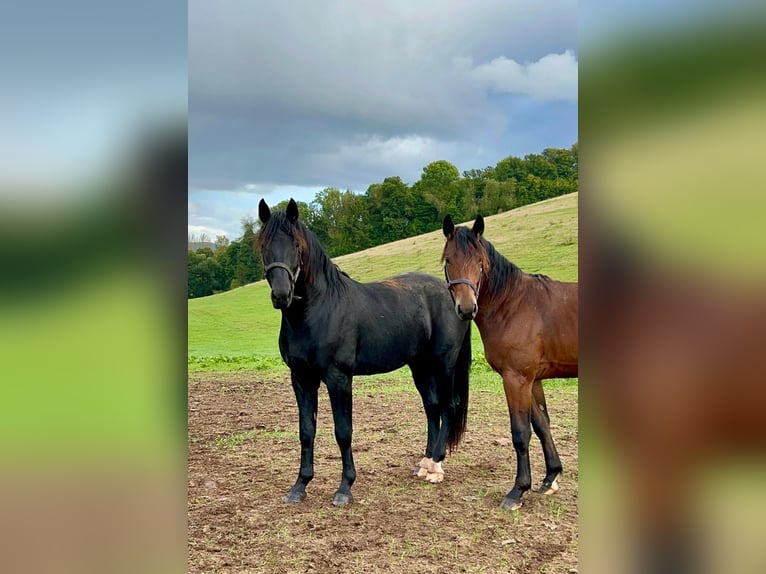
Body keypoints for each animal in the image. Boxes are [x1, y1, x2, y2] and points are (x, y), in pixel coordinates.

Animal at [260, 199, 474, 508]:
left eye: (296, 246)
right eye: (263, 245)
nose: (281, 295)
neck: (318, 311)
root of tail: (455, 295)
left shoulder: (338, 377)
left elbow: (343, 431)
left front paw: (344, 488)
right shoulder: (301, 378)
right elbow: (306, 431)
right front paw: (300, 486)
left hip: (443, 364)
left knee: (448, 406)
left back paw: (436, 466)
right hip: (420, 366)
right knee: (432, 408)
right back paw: (424, 463)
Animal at [440, 214, 580, 510]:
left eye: (479, 261)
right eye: (448, 260)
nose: (466, 308)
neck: (513, 304)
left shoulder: (516, 379)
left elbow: (520, 433)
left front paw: (518, 490)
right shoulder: (533, 380)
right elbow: (541, 425)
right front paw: (550, 477)